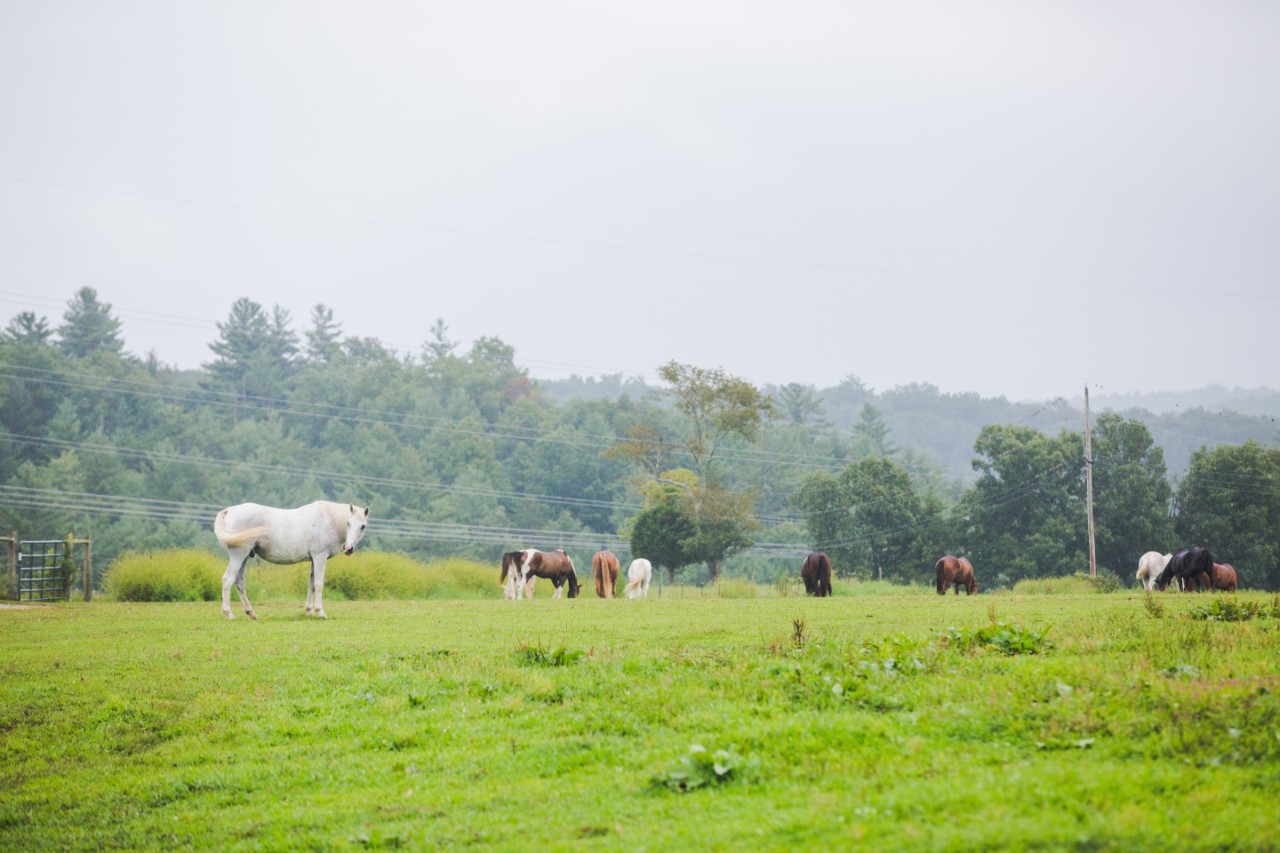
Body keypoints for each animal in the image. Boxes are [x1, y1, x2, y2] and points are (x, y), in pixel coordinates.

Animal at [215, 501, 369, 620]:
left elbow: (311, 584)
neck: (329, 520)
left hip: (244, 557)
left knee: (239, 582)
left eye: (362, 526)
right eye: (348, 523)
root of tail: (229, 510)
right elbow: (318, 584)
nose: (348, 548)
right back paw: (229, 614)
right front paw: (320, 612)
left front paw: (309, 611)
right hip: (239, 555)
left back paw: (251, 613)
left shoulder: (314, 560)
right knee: (228, 579)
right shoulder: (320, 557)